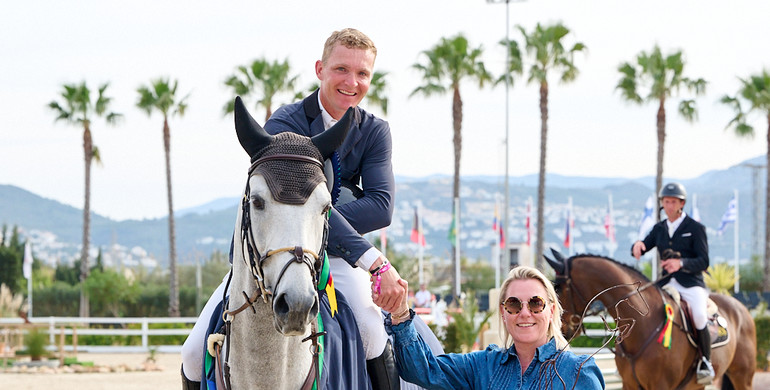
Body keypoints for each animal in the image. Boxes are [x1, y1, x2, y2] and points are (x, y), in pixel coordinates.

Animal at [544, 251, 756, 388]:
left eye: (559, 288)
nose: (561, 330)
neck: (643, 327)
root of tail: (740, 307)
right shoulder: (629, 384)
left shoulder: (661, 385)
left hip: (742, 376)